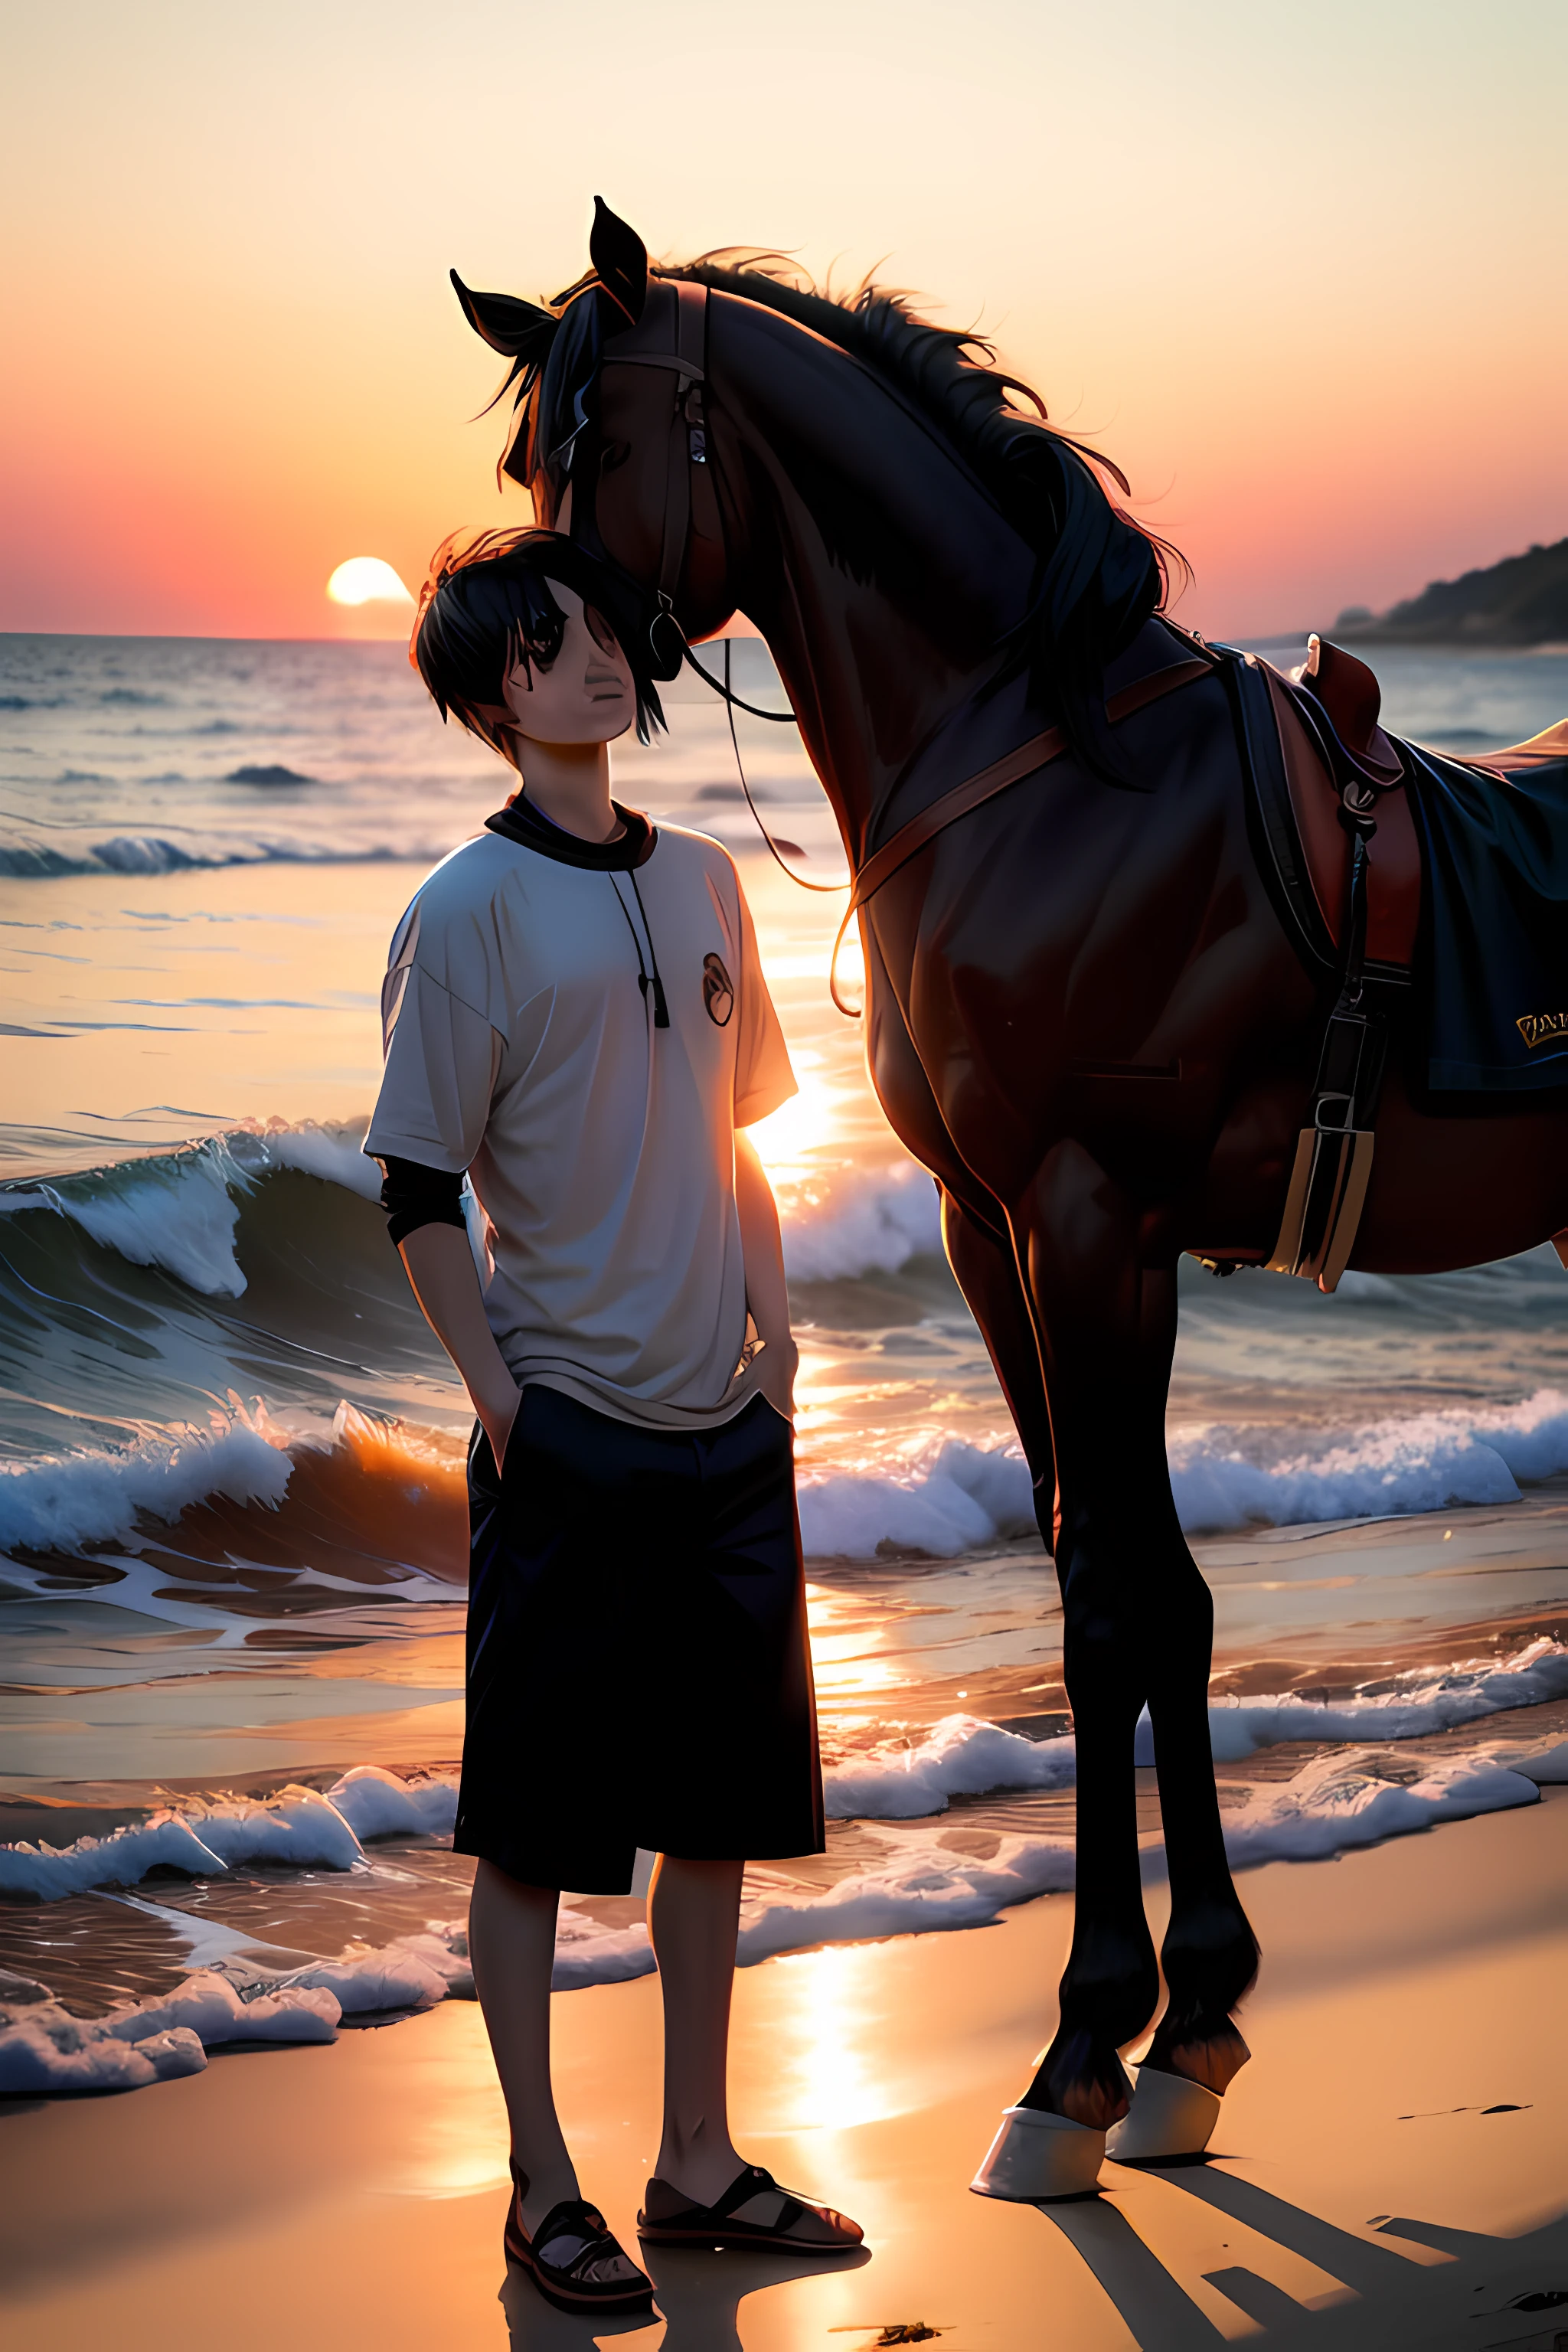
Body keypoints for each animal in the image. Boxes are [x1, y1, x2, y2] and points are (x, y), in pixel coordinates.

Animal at [446, 198, 1568, 2182]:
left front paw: (1084, 2045)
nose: (536, 645)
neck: (1036, 770)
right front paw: (1188, 2025)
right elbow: (1117, 1581)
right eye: (527, 459)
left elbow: (1119, 1599)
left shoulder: (1093, 1223)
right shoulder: (1001, 1234)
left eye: (605, 434)